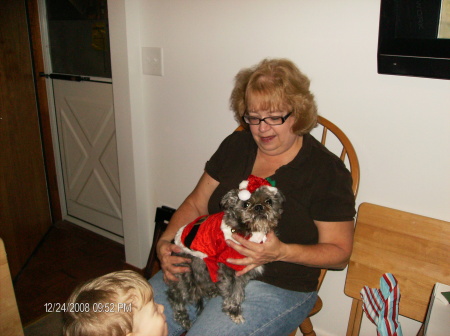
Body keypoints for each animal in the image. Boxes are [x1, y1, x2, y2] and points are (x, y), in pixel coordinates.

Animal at [165, 177, 284, 330]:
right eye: (246, 204)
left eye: (268, 201)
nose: (258, 207)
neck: (248, 230)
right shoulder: (229, 268)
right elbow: (233, 292)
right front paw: (234, 311)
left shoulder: (242, 270)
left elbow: (238, 291)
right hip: (185, 276)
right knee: (174, 296)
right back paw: (183, 318)